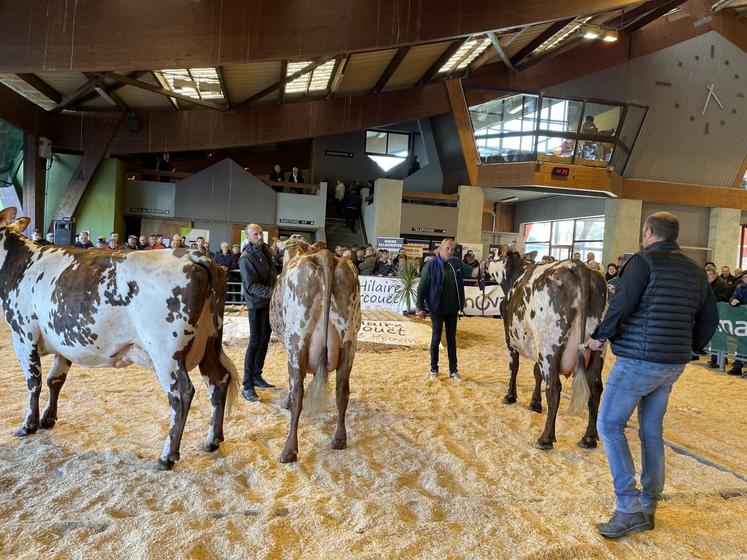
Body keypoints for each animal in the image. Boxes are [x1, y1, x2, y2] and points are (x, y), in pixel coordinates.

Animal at [0, 208, 240, 470]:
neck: (19, 263)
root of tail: (193, 254)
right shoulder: (63, 342)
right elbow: (56, 380)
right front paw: (48, 418)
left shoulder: (24, 335)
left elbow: (34, 382)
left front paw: (28, 425)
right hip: (210, 343)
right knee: (218, 381)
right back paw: (212, 440)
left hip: (166, 352)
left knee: (181, 392)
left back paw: (167, 456)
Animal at [268, 241, 362, 464]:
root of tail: (324, 255)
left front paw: (286, 402)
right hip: (349, 342)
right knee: (342, 390)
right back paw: (339, 439)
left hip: (296, 340)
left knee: (298, 392)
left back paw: (289, 450)